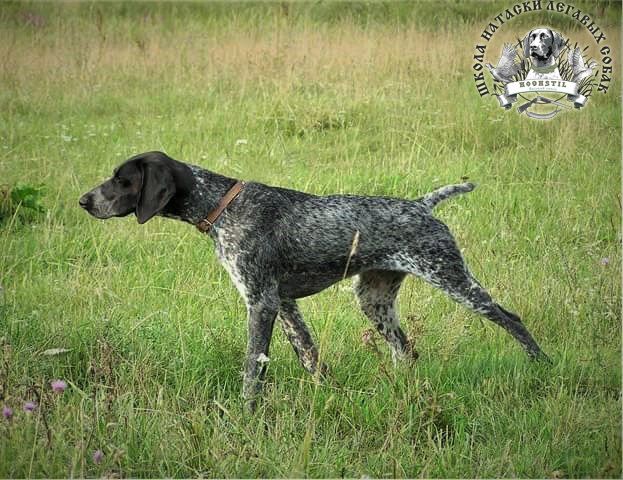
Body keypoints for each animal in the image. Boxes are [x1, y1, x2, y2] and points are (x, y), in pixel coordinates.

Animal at [79, 152, 552, 410]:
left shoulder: (261, 303)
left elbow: (253, 369)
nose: (84, 200)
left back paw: (543, 366)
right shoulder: (284, 305)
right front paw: (328, 396)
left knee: (511, 319)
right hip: (373, 299)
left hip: (453, 279)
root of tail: (423, 205)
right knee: (406, 351)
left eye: (122, 180)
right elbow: (311, 358)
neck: (222, 206)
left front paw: (248, 415)